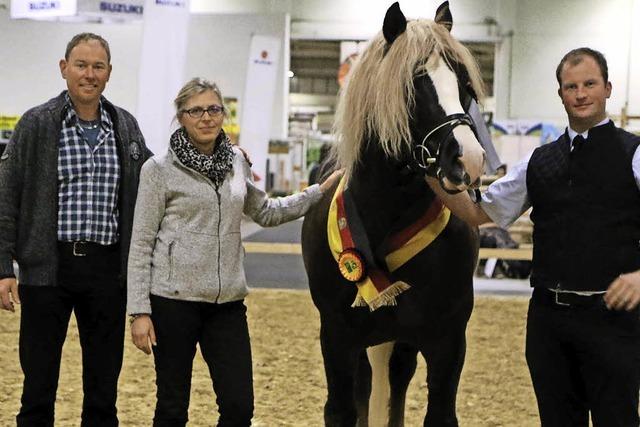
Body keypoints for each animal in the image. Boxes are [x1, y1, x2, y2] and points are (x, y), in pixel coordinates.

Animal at [300, 1, 484, 426]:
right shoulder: (337, 336)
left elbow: (439, 412)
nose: (468, 158)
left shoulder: (447, 339)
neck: (385, 221)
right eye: (414, 83)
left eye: (465, 85)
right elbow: (341, 409)